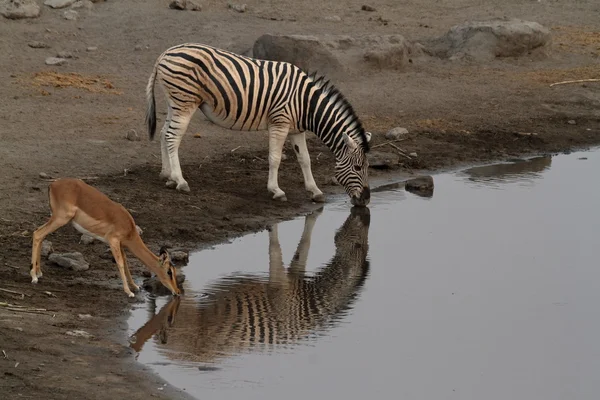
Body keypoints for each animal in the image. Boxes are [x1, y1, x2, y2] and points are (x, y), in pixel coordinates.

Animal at [129, 206, 368, 362]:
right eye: (358, 242)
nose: (362, 204)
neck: (305, 304)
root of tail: (170, 353)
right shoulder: (280, 286)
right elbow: (277, 250)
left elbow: (301, 250)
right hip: (187, 315)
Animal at [145, 43, 370, 206]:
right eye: (358, 167)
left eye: (367, 167)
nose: (366, 200)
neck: (307, 104)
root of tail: (165, 53)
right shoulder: (280, 123)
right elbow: (275, 158)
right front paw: (276, 191)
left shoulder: (296, 130)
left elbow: (305, 159)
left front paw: (315, 191)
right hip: (185, 101)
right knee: (172, 136)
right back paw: (180, 181)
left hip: (174, 102)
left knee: (165, 132)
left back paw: (168, 176)